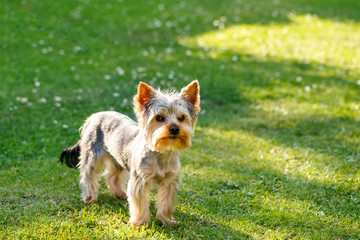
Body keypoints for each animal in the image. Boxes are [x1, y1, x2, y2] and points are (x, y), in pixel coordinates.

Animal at [59, 80, 200, 227]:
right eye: (159, 118)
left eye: (181, 118)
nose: (174, 129)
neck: (161, 152)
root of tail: (92, 117)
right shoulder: (140, 180)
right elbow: (139, 203)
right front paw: (139, 224)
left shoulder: (170, 181)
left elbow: (166, 202)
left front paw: (166, 220)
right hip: (92, 155)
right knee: (88, 175)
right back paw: (89, 197)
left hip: (118, 157)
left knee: (112, 175)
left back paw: (120, 193)